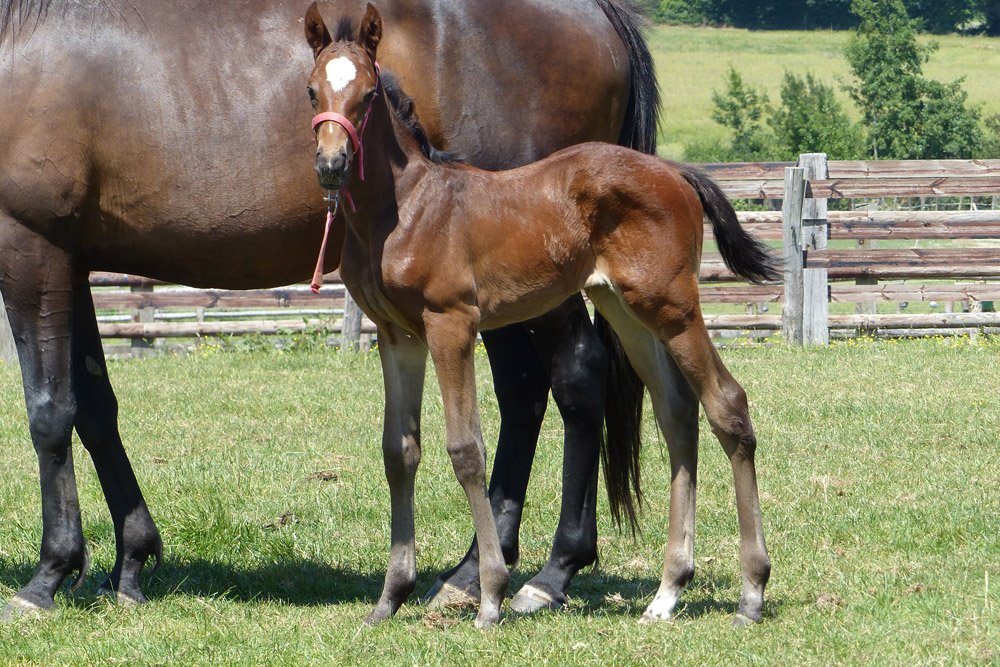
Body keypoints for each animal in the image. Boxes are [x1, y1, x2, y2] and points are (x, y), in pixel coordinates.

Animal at [0, 0, 657, 618]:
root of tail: (598, 13)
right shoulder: (69, 256)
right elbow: (94, 408)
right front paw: (130, 562)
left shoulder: (30, 244)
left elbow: (50, 410)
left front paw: (48, 575)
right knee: (524, 390)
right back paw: (474, 573)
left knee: (577, 377)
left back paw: (552, 573)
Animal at [303, 3, 778, 627]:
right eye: (313, 91)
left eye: (366, 94)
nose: (332, 165)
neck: (407, 206)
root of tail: (675, 172)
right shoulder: (396, 335)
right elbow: (398, 450)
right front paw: (389, 598)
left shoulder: (450, 323)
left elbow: (467, 449)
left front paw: (488, 596)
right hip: (625, 308)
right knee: (677, 414)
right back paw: (669, 590)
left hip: (672, 305)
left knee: (727, 404)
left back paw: (751, 591)